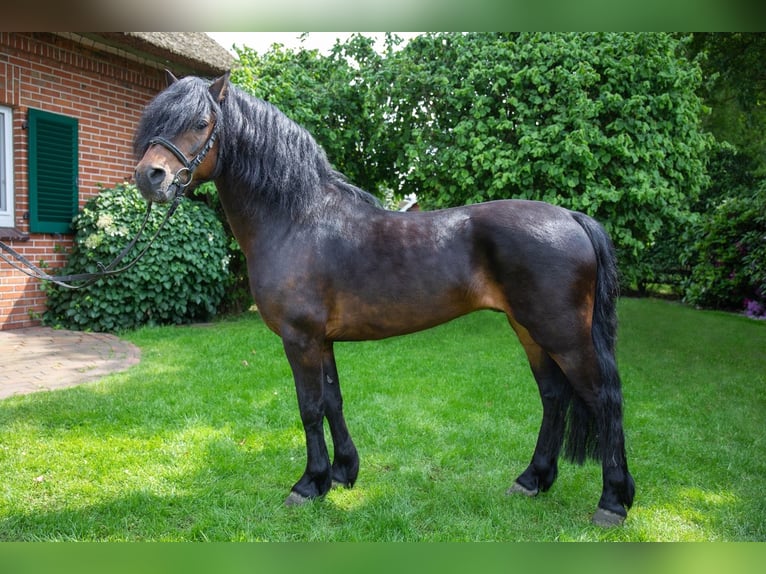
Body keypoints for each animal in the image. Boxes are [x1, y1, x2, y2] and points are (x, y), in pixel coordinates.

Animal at [133, 71, 635, 527]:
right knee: (553, 397)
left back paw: (613, 502)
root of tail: (571, 217)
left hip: (563, 334)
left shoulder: (300, 339)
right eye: (156, 120)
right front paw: (342, 473)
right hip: (528, 329)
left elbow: (309, 407)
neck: (296, 220)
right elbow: (333, 401)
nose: (150, 177)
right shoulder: (322, 340)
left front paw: (308, 484)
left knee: (604, 398)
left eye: (201, 122)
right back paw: (532, 480)